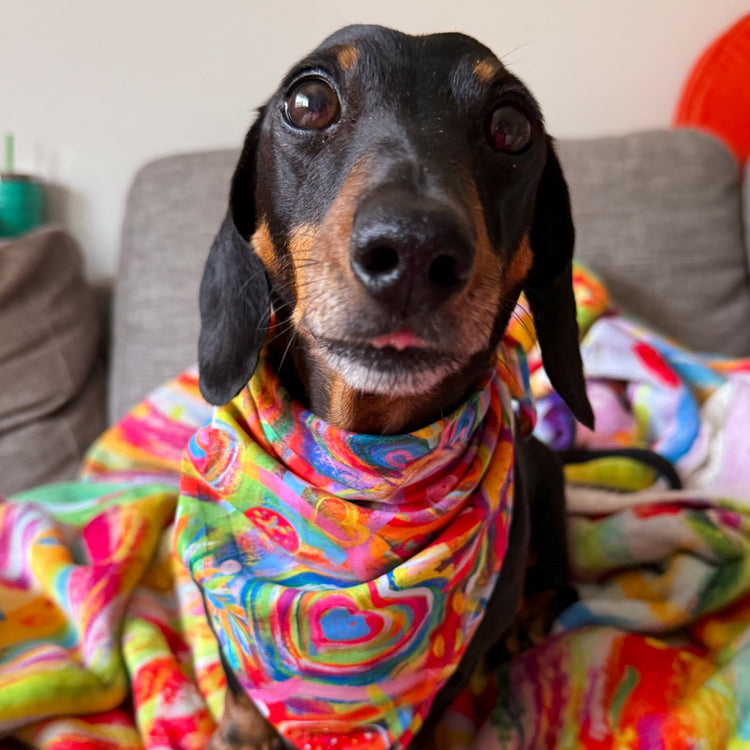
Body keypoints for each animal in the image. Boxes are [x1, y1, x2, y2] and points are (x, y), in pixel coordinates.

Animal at [192, 23, 592, 750]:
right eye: (308, 101)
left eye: (512, 126)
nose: (413, 251)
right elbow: (239, 702)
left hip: (546, 472)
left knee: (563, 581)